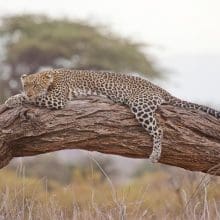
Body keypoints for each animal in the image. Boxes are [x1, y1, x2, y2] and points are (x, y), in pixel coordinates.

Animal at [4, 68, 220, 162]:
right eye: (26, 85)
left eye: (35, 86)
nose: (29, 92)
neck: (52, 77)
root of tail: (158, 87)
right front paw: (13, 98)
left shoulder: (57, 99)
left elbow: (34, 99)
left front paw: (13, 100)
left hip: (140, 106)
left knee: (159, 129)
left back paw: (155, 155)